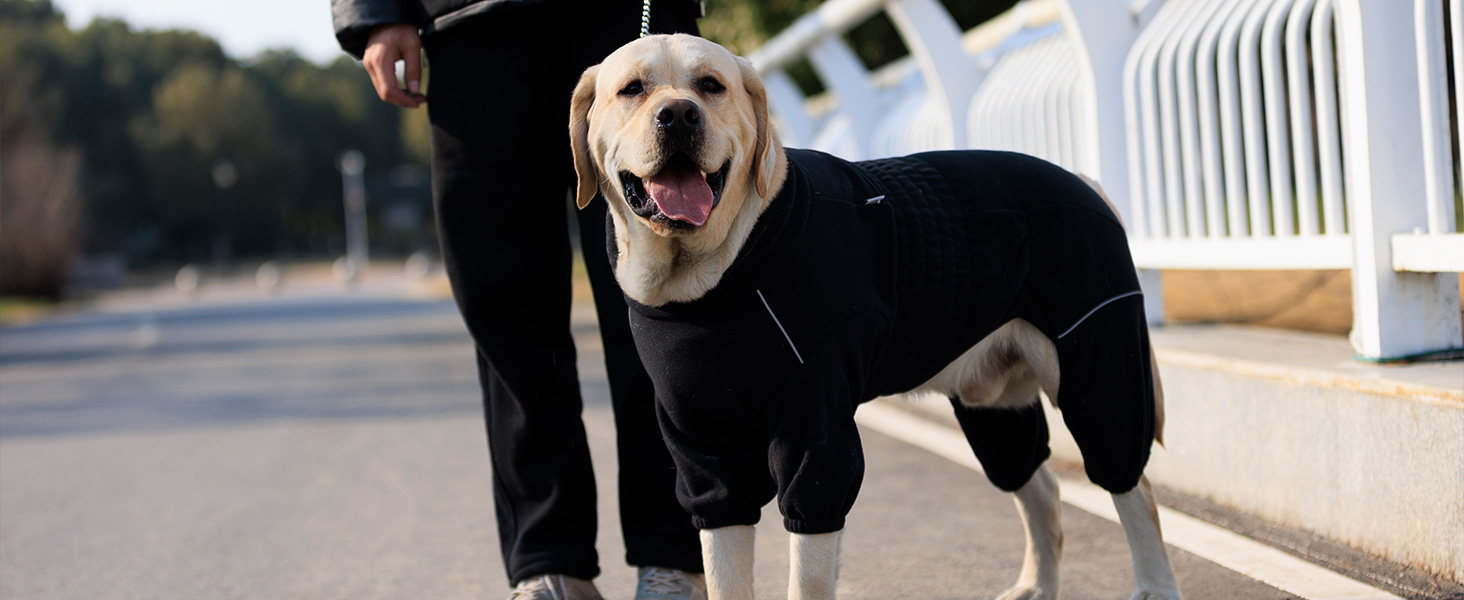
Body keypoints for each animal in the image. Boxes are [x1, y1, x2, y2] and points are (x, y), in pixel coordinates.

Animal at [565, 34, 1182, 600]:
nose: (678, 114)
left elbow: (809, 569)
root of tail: (1084, 181)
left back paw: (1153, 586)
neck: (710, 280)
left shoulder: (816, 436)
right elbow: (724, 569)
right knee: (1044, 491)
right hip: (994, 405)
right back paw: (1035, 586)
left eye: (711, 86)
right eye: (632, 89)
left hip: (1099, 369)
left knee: (1134, 488)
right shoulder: (704, 452)